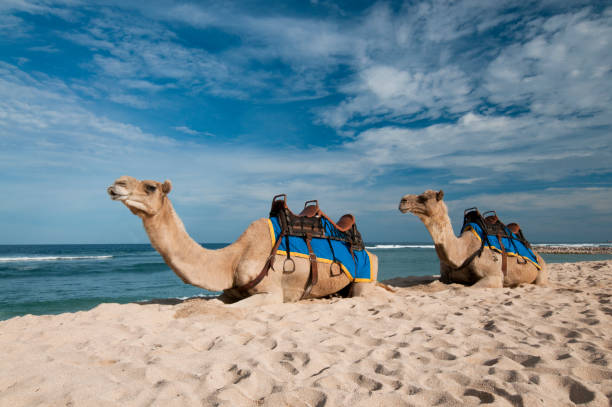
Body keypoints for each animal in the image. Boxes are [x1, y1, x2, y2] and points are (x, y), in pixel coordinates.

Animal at [104, 175, 382, 306]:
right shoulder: (229, 291)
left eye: (150, 187)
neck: (231, 259)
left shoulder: (273, 293)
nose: (116, 183)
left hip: (365, 275)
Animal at [400, 190, 548, 288]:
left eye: (424, 198)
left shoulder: (494, 276)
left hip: (542, 270)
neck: (462, 252)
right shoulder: (444, 276)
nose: (402, 200)